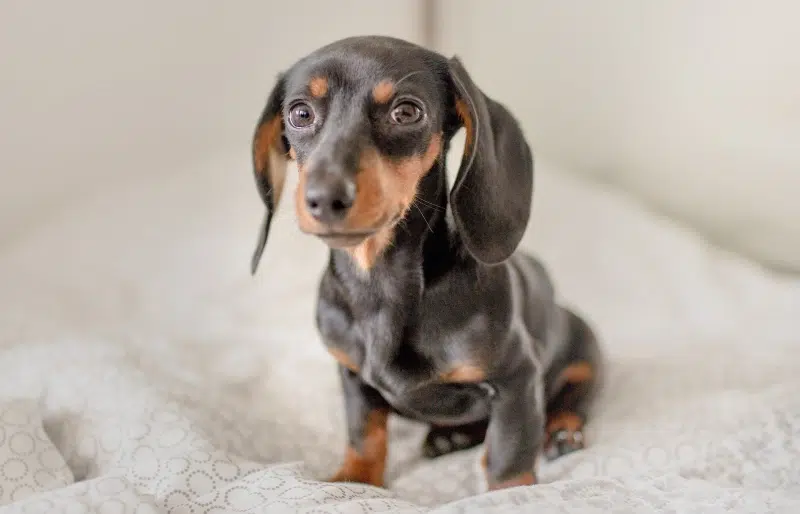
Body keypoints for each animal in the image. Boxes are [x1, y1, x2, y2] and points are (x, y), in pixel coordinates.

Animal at [248, 34, 600, 490]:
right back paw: (452, 436)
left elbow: (510, 451)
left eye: (406, 111)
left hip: (585, 347)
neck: (381, 286)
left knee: (576, 394)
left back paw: (561, 431)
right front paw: (354, 481)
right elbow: (364, 434)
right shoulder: (351, 377)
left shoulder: (517, 378)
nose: (324, 198)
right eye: (300, 113)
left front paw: (510, 493)